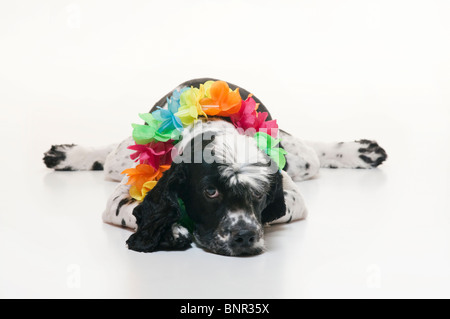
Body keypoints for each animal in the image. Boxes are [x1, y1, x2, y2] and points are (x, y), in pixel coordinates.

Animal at [43, 77, 386, 258]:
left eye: (260, 194)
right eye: (210, 192)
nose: (244, 237)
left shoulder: (291, 197)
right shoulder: (120, 198)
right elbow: (133, 209)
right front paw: (170, 230)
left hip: (300, 157)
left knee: (313, 152)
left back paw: (362, 151)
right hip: (121, 158)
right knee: (108, 157)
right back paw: (67, 156)